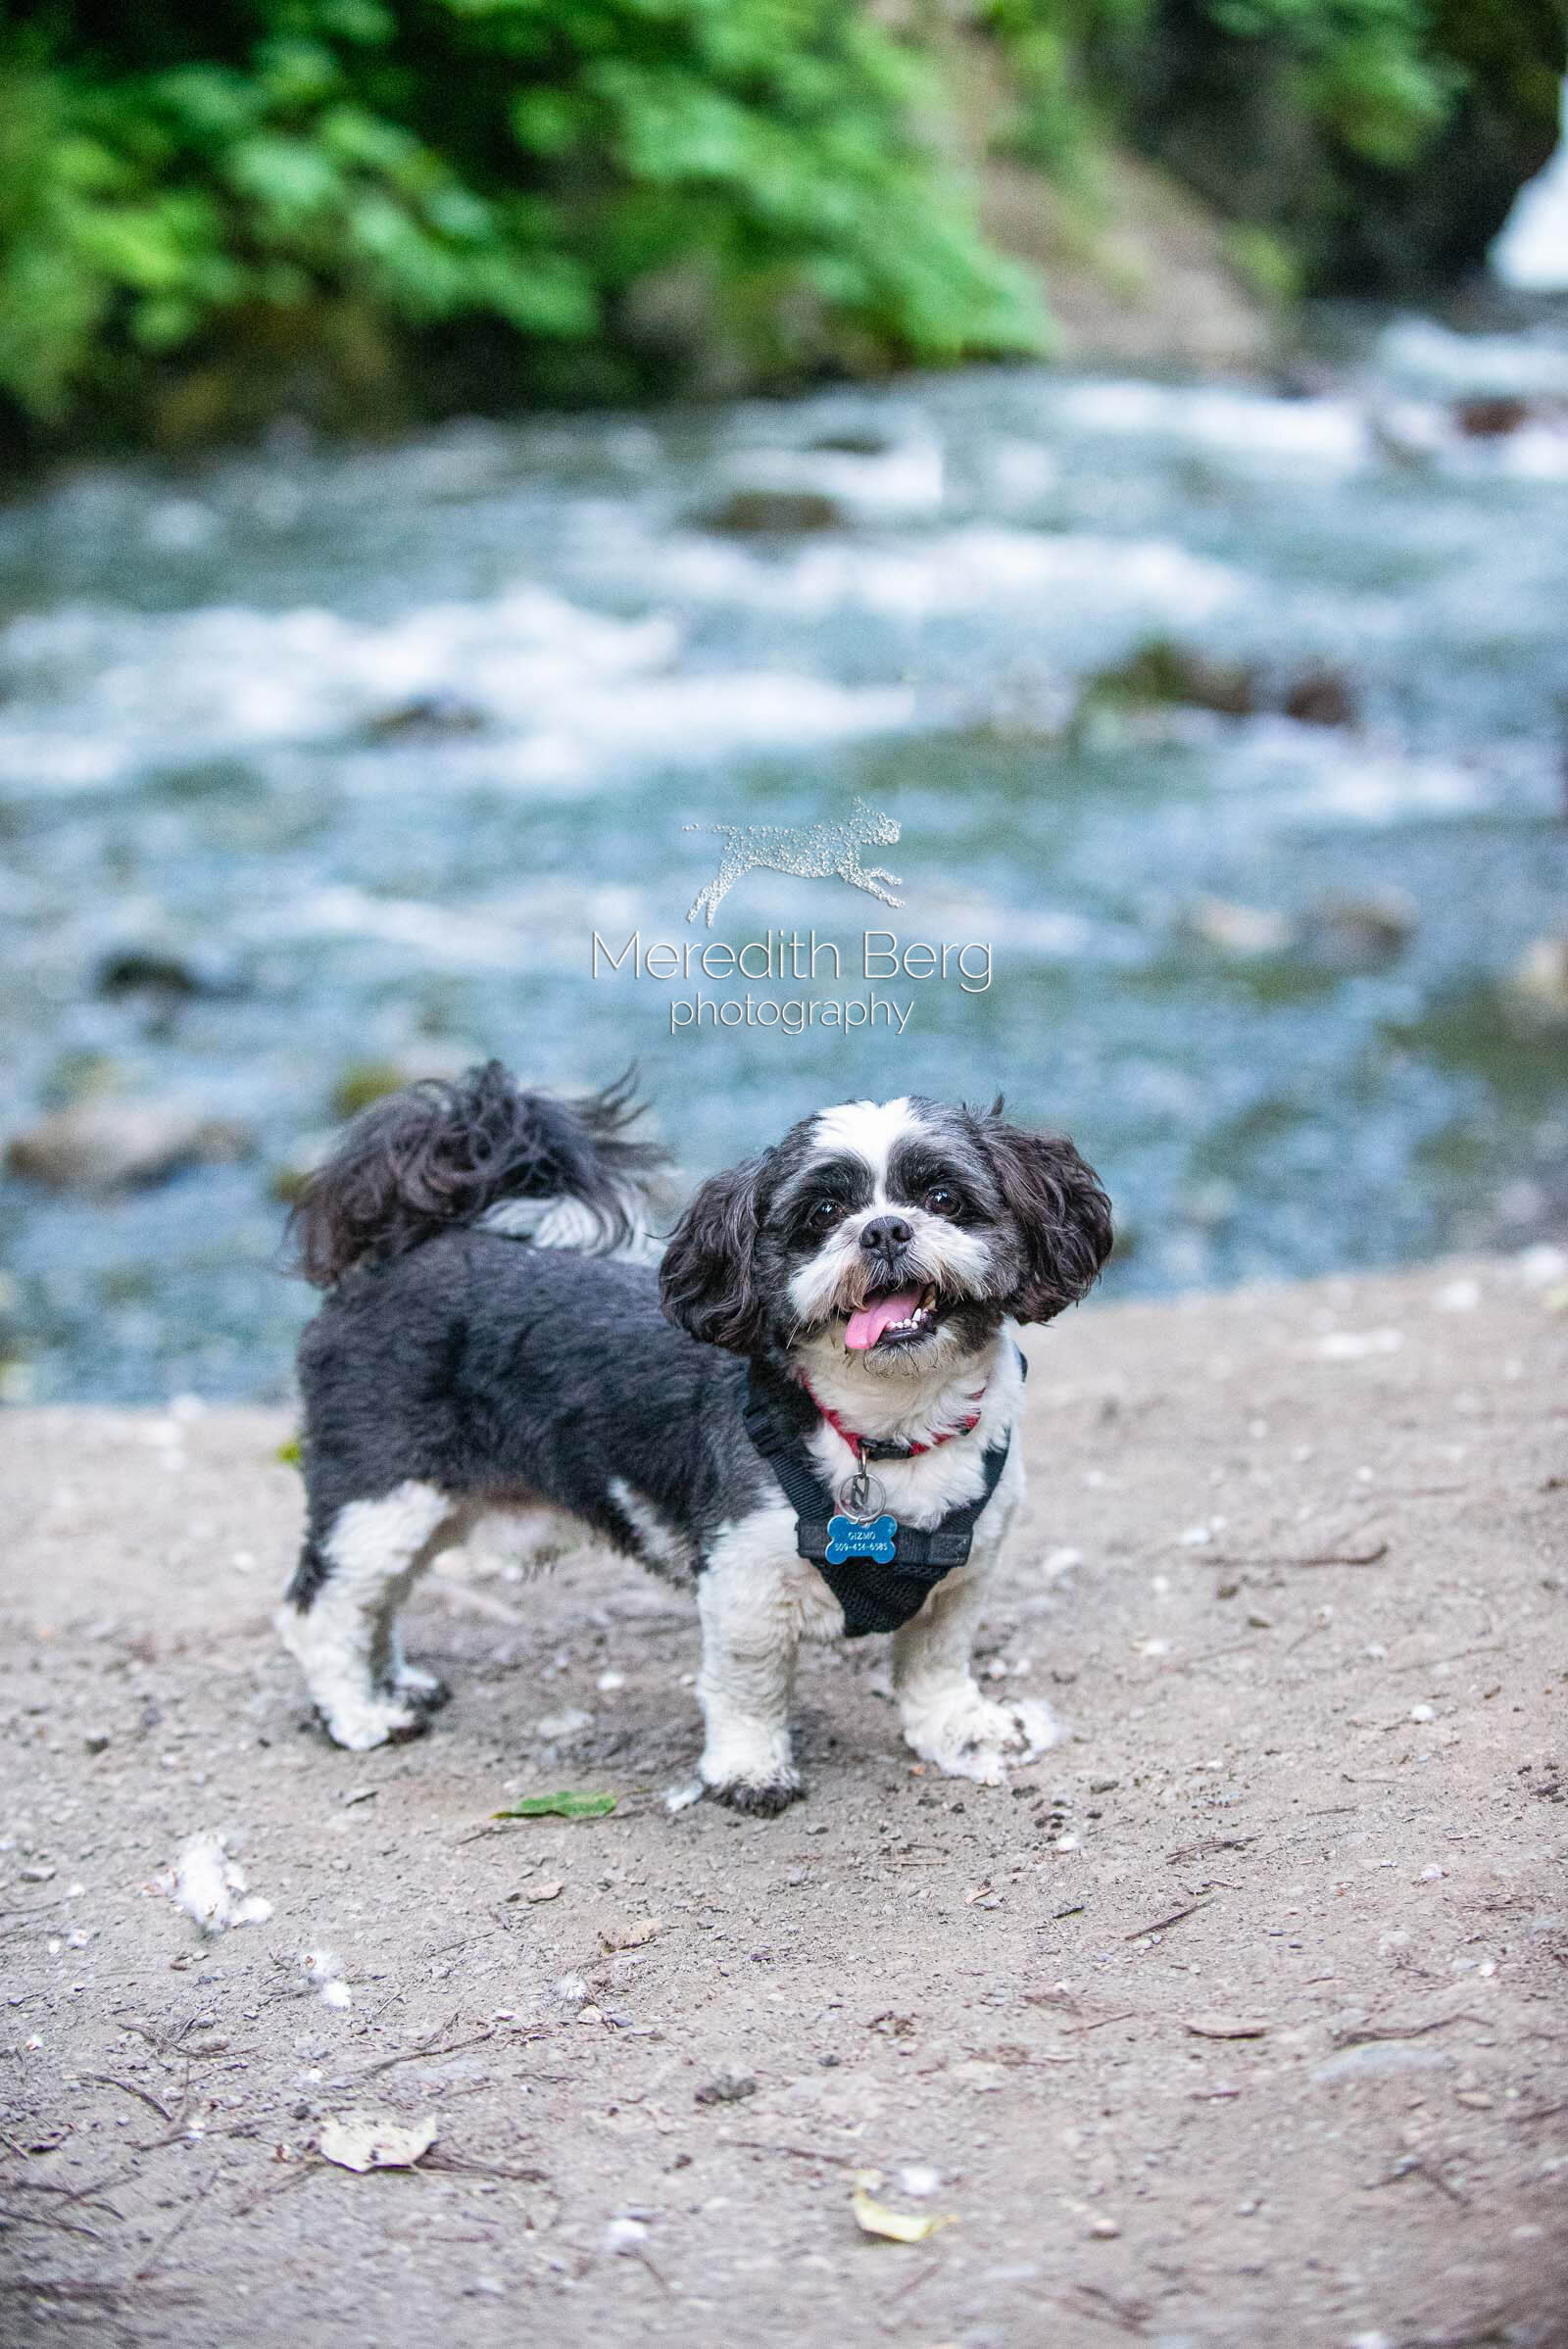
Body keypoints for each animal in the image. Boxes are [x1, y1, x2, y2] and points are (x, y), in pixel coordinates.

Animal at [281, 1066, 1112, 1813]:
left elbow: (936, 1660)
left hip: (429, 1504)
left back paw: (393, 1682)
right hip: (380, 1490)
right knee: (323, 1605)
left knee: (378, 1598)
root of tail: (397, 1258)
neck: (886, 1429)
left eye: (943, 1196)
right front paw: (749, 1769)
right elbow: (749, 1682)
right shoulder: (744, 1576)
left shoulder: (964, 1571)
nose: (883, 1228)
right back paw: (359, 1712)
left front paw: (960, 1730)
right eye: (821, 1212)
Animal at [685, 798, 906, 925]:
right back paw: (703, 919)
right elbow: (877, 888)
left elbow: (877, 870)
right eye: (884, 821)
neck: (852, 832)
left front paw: (893, 880)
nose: (898, 827)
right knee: (709, 891)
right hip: (732, 870)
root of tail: (736, 830)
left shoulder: (850, 873)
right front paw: (895, 900)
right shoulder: (852, 875)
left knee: (710, 891)